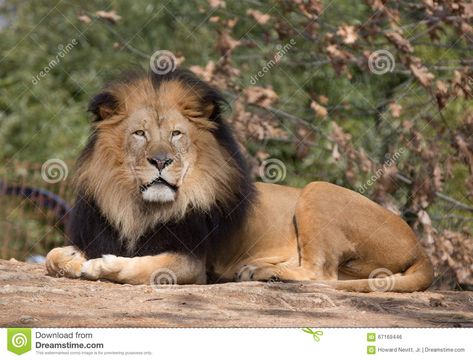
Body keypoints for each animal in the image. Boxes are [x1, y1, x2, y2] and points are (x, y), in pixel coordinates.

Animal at [46, 68, 434, 292]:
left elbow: (140, 267)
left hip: (317, 190)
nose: (160, 161)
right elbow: (52, 256)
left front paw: (101, 265)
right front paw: (73, 260)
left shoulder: (191, 263)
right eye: (139, 134)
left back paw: (265, 274)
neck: (138, 206)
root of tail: (420, 248)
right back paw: (257, 270)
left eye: (176, 134)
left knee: (323, 274)